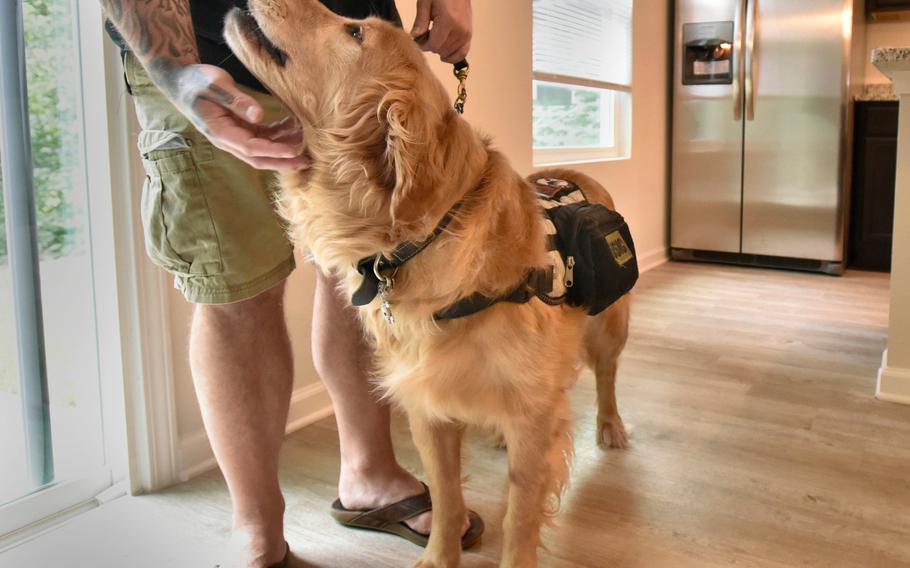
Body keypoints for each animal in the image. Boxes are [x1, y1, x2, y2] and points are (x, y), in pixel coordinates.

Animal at [224, 2, 632, 564]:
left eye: (355, 31)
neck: (427, 240)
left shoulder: (532, 417)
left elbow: (521, 514)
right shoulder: (426, 404)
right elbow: (444, 495)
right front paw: (440, 554)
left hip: (608, 327)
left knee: (607, 376)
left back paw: (611, 426)